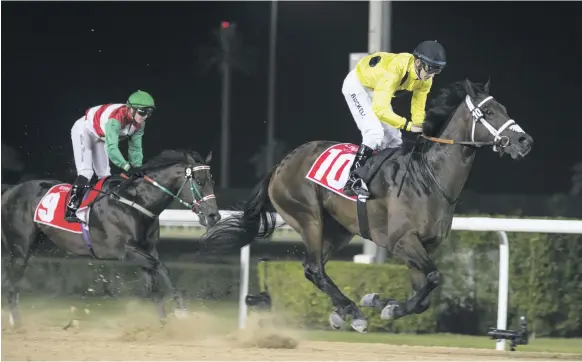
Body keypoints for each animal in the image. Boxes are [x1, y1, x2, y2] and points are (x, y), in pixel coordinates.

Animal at [1, 148, 220, 326]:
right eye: (199, 181)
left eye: (212, 181)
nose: (214, 216)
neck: (135, 202)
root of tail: (11, 190)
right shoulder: (126, 251)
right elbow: (160, 267)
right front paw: (181, 311)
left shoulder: (147, 249)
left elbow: (155, 283)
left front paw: (165, 324)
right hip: (20, 248)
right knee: (12, 284)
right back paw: (17, 324)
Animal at [200, 80, 532, 334]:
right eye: (488, 111)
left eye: (505, 109)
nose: (524, 141)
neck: (428, 177)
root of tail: (281, 164)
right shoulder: (402, 241)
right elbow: (435, 278)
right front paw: (382, 307)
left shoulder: (423, 246)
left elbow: (423, 295)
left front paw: (384, 303)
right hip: (308, 217)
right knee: (314, 267)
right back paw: (352, 312)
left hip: (338, 230)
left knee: (314, 268)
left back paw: (343, 311)